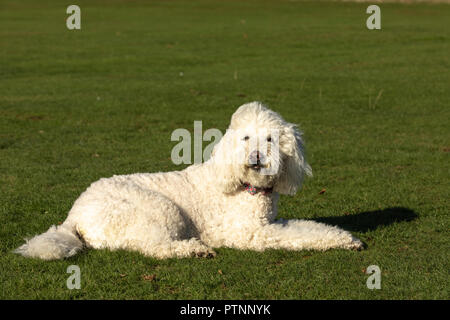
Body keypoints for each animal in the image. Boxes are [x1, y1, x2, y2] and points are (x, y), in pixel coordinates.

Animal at [14, 102, 366, 260]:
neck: (245, 186)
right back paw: (194, 250)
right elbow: (297, 236)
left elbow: (309, 227)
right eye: (245, 138)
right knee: (152, 247)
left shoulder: (268, 222)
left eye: (270, 139)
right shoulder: (251, 234)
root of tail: (74, 215)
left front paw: (345, 237)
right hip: (157, 210)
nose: (255, 156)